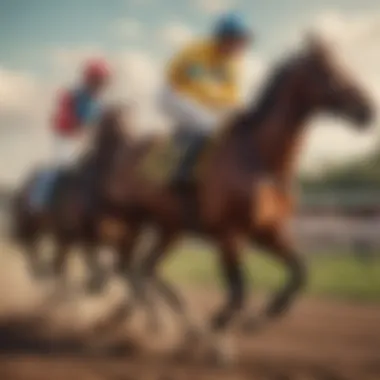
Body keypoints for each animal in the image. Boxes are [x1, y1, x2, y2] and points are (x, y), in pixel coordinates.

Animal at [95, 35, 378, 360]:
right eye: (330, 72)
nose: (366, 110)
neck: (261, 160)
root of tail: (123, 150)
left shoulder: (268, 231)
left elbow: (299, 272)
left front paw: (257, 319)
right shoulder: (230, 235)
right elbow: (239, 291)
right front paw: (215, 336)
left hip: (170, 227)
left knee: (144, 269)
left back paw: (144, 319)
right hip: (131, 220)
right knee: (128, 269)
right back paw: (143, 320)